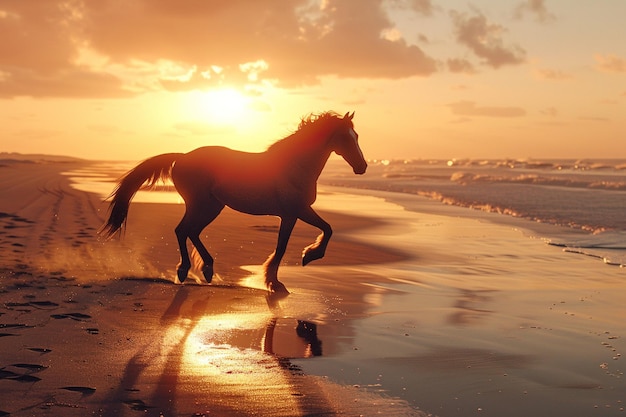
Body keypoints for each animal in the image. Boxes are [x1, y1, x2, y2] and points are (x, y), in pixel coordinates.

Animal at [100, 110, 366, 292]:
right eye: (345, 138)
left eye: (357, 136)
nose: (362, 167)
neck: (295, 166)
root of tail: (182, 157)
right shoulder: (295, 211)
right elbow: (313, 235)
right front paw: (287, 273)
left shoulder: (292, 213)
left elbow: (312, 234)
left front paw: (284, 273)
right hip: (201, 205)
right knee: (182, 230)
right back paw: (185, 270)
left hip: (212, 206)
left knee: (191, 231)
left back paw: (207, 269)